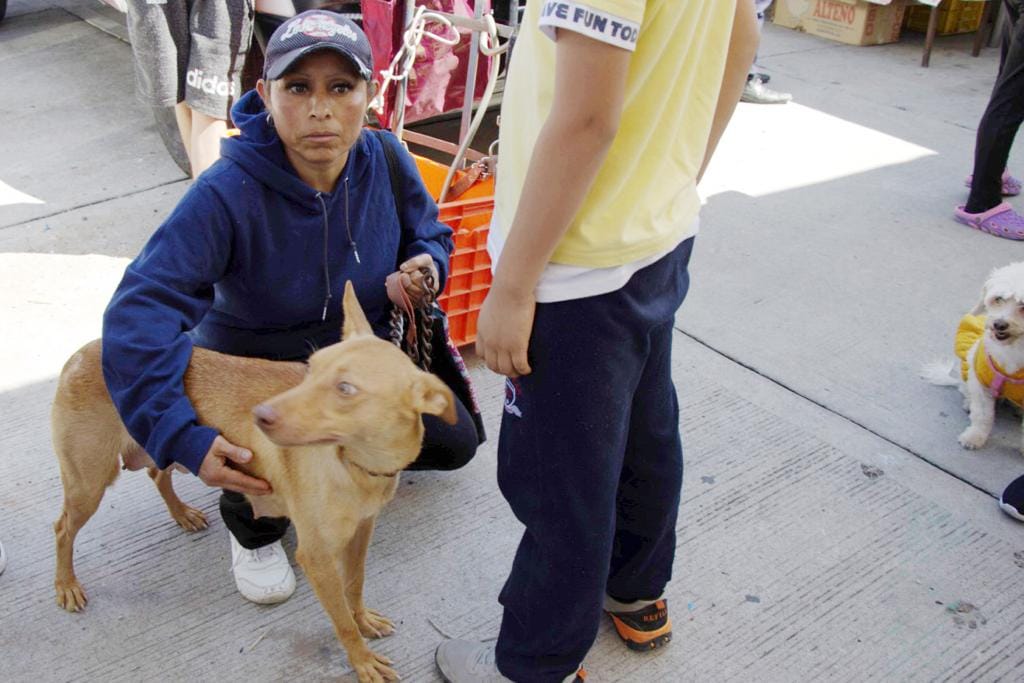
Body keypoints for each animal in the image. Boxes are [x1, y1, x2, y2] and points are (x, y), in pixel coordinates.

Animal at [49, 280, 454, 679]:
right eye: (309, 368)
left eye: (345, 389)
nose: (261, 415)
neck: (356, 465)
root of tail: (83, 352)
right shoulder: (317, 558)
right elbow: (341, 620)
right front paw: (362, 660)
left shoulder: (361, 533)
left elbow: (355, 585)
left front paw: (363, 618)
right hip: (90, 481)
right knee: (63, 528)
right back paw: (66, 585)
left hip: (165, 439)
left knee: (156, 473)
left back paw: (182, 515)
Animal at [921, 264, 1024, 450]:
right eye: (998, 299)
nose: (999, 324)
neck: (1014, 349)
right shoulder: (980, 381)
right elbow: (982, 415)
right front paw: (973, 437)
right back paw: (969, 403)